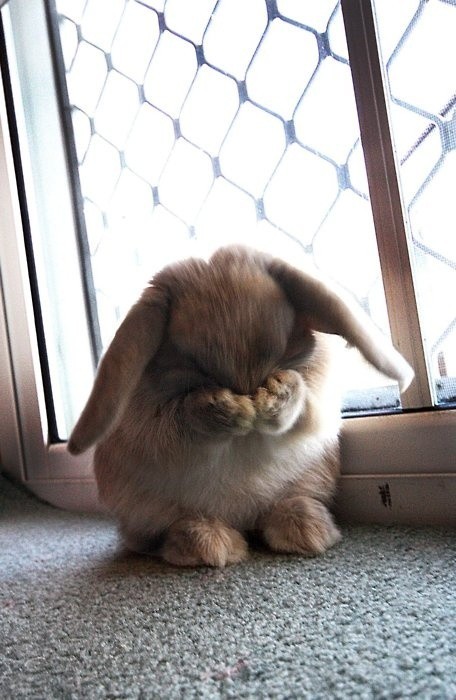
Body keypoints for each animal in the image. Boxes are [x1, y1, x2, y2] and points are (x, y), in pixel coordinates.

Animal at [68, 245, 413, 567]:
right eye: (192, 364)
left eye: (285, 347)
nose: (248, 398)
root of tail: (243, 520)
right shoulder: (152, 425)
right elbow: (182, 417)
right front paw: (224, 408)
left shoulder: (318, 395)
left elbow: (303, 400)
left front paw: (274, 396)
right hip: (145, 510)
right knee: (158, 535)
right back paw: (209, 544)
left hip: (312, 476)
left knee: (286, 506)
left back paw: (305, 530)